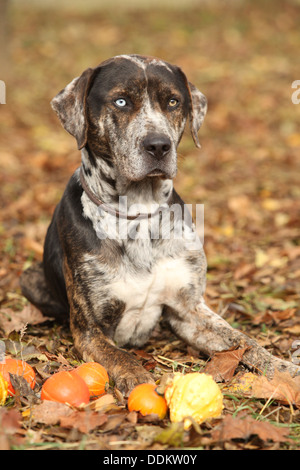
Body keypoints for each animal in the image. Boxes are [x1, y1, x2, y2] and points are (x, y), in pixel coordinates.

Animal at [19, 54, 298, 392]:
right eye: (121, 101)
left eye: (173, 102)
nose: (158, 145)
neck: (139, 211)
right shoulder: (90, 330)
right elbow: (120, 355)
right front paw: (137, 376)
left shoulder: (189, 310)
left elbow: (245, 341)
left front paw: (284, 368)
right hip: (29, 278)